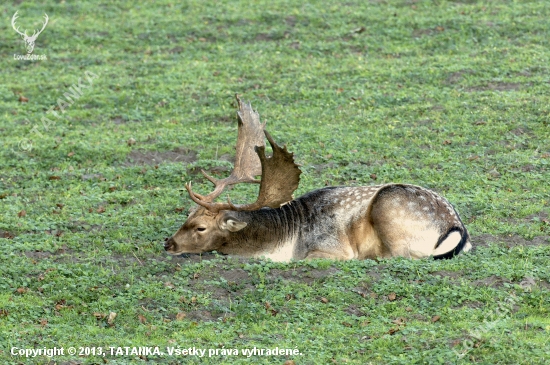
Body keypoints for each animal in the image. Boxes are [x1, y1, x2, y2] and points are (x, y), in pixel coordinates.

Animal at [162, 96, 472, 262]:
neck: (284, 241)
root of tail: (457, 228)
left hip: (390, 211)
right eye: (186, 216)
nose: (168, 244)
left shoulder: (330, 249)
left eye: (200, 228)